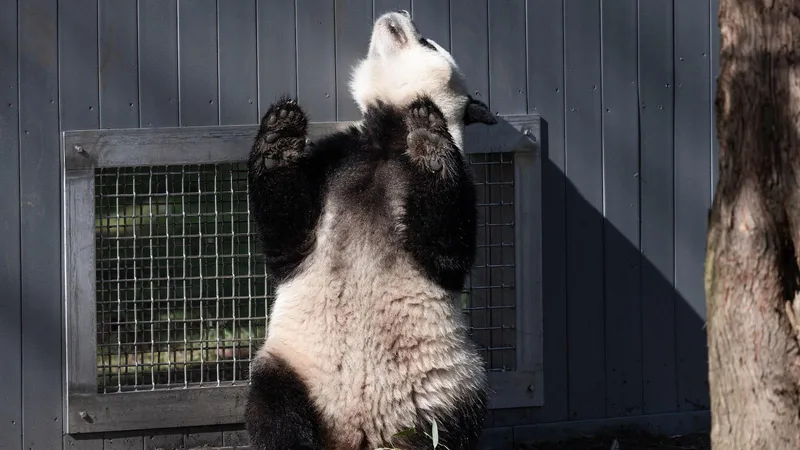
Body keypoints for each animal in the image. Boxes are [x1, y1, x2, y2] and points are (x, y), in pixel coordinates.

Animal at [244, 10, 497, 450]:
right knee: (273, 409)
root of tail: (357, 433)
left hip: (449, 385)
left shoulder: (458, 179)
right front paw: (279, 138)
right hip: (292, 365)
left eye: (428, 41)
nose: (397, 13)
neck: (386, 138)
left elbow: (447, 250)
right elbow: (287, 243)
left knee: (455, 424)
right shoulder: (335, 160)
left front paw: (430, 142)